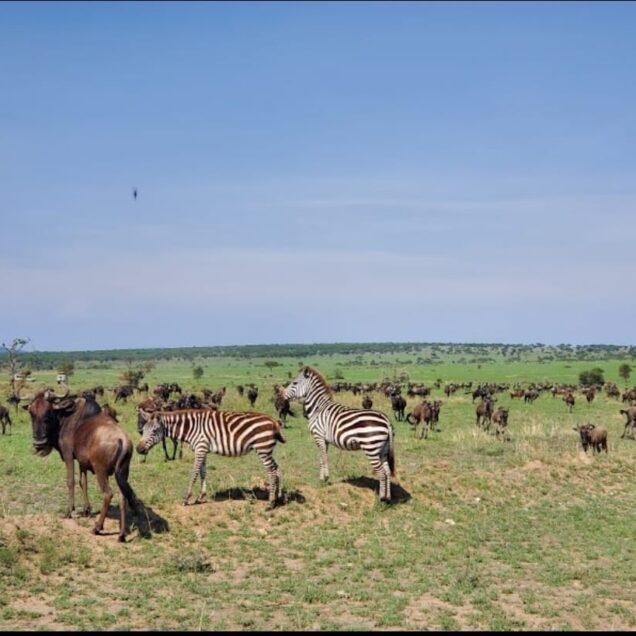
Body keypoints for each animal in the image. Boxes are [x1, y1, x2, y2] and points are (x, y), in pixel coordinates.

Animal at [137, 410, 286, 510]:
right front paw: (200, 497)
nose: (139, 449)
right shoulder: (203, 450)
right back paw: (278, 498)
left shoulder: (200, 448)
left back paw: (270, 503)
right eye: (143, 430)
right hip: (266, 449)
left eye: (154, 431)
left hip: (262, 448)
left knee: (271, 471)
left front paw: (186, 498)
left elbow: (194, 473)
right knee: (277, 467)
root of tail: (273, 421)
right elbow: (203, 472)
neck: (191, 427)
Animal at [284, 368, 398, 502]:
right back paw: (388, 498)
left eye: (294, 383)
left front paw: (325, 478)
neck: (318, 407)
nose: (282, 395)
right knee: (387, 471)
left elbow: (323, 458)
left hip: (371, 448)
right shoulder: (324, 439)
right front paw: (322, 478)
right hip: (383, 450)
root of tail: (386, 419)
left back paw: (381, 498)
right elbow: (322, 458)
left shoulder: (318, 436)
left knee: (381, 472)